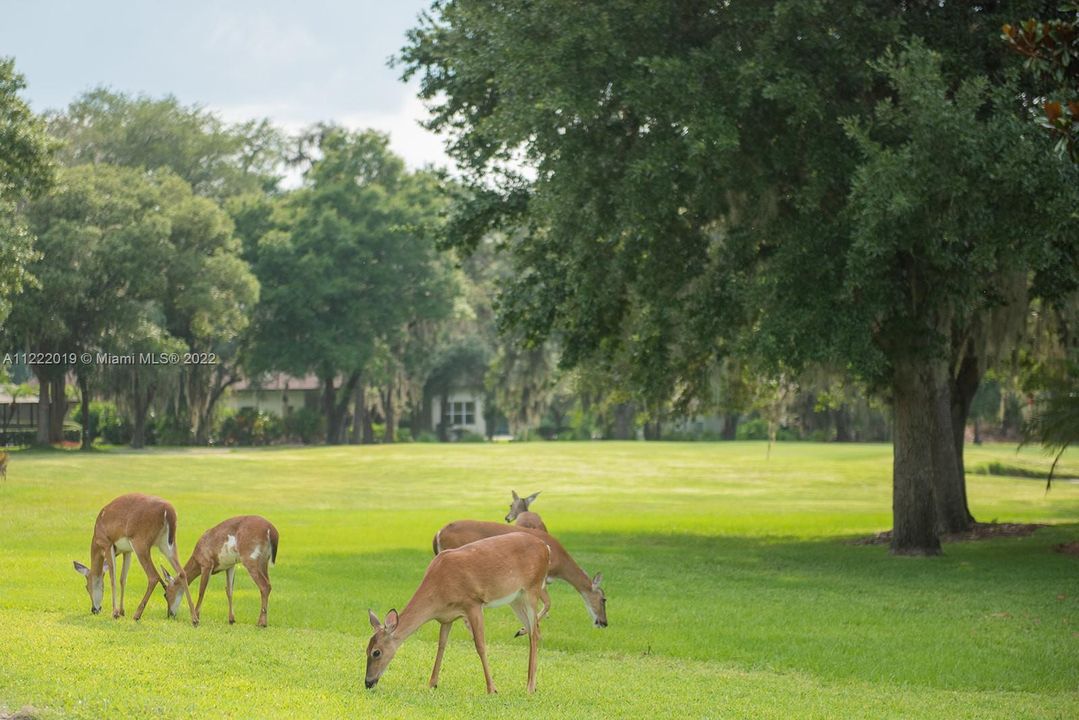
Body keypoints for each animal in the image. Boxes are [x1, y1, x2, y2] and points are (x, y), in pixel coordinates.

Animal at [71, 496, 198, 626]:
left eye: (87, 586)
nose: (94, 609)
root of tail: (168, 511)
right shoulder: (127, 551)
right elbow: (123, 579)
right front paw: (122, 611)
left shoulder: (107, 544)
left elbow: (113, 579)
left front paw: (115, 613)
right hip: (166, 545)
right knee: (182, 573)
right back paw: (194, 619)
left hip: (141, 544)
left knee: (153, 576)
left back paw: (137, 615)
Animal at [364, 535, 548, 690]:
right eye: (366, 650)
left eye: (376, 652)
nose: (368, 682)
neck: (438, 589)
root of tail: (545, 547)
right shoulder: (447, 617)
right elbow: (441, 645)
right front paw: (432, 683)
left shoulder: (473, 603)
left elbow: (480, 645)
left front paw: (492, 689)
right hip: (516, 599)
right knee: (534, 630)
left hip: (532, 589)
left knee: (534, 633)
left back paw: (530, 686)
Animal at [435, 518, 608, 630]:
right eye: (603, 599)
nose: (604, 623)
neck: (560, 564)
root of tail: (438, 533)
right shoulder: (539, 578)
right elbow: (548, 603)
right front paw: (522, 630)